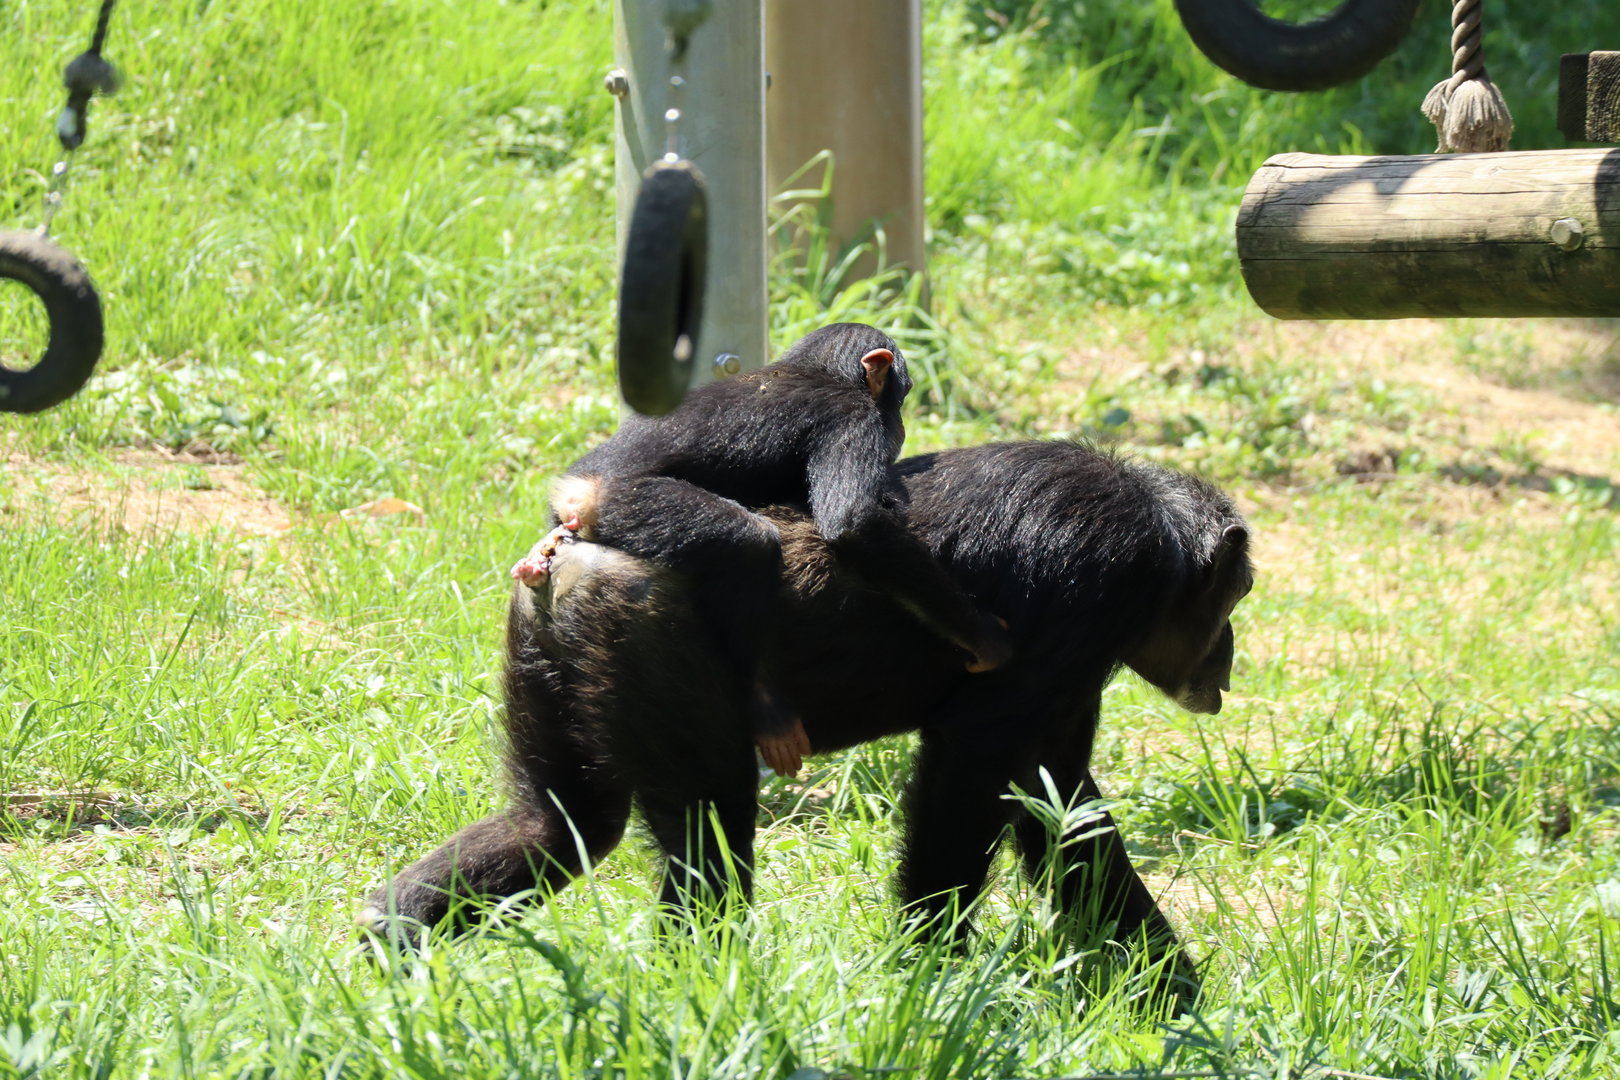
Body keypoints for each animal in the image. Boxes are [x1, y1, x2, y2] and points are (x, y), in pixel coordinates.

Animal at [364, 440, 1252, 1012]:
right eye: (1238, 592)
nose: (1232, 652)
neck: (1158, 554)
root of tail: (574, 552)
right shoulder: (1096, 583)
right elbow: (970, 778)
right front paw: (930, 972)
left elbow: (1061, 805)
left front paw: (1169, 994)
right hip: (650, 640)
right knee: (709, 842)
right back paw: (706, 987)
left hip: (544, 649)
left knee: (557, 825)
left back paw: (393, 941)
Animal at [510, 323, 1011, 778]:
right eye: (901, 396)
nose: (903, 424)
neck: (819, 370)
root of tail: (575, 491)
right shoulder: (852, 420)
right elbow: (855, 522)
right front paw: (986, 638)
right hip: (630, 501)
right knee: (747, 544)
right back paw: (768, 708)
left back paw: (542, 556)